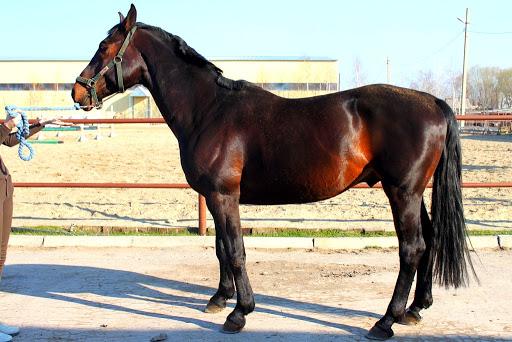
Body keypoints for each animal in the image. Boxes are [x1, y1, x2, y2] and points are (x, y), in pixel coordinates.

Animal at [72, 5, 476, 340]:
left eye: (105, 46)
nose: (77, 91)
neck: (210, 109)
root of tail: (434, 103)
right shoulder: (216, 196)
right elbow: (221, 247)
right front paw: (219, 298)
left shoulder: (223, 195)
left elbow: (235, 250)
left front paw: (239, 313)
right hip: (412, 192)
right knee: (430, 240)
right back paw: (415, 309)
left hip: (402, 192)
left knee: (412, 248)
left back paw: (385, 321)